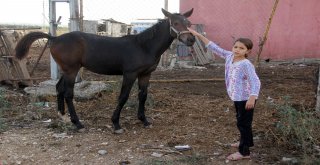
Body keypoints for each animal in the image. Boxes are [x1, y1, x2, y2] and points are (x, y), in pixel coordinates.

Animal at [15, 8, 195, 133]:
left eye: (189, 23)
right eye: (175, 23)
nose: (191, 39)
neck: (144, 46)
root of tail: (55, 38)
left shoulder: (145, 74)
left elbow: (143, 96)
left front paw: (144, 120)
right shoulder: (130, 74)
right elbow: (123, 97)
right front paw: (116, 123)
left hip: (66, 70)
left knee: (59, 88)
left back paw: (62, 116)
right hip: (71, 70)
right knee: (68, 93)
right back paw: (77, 123)